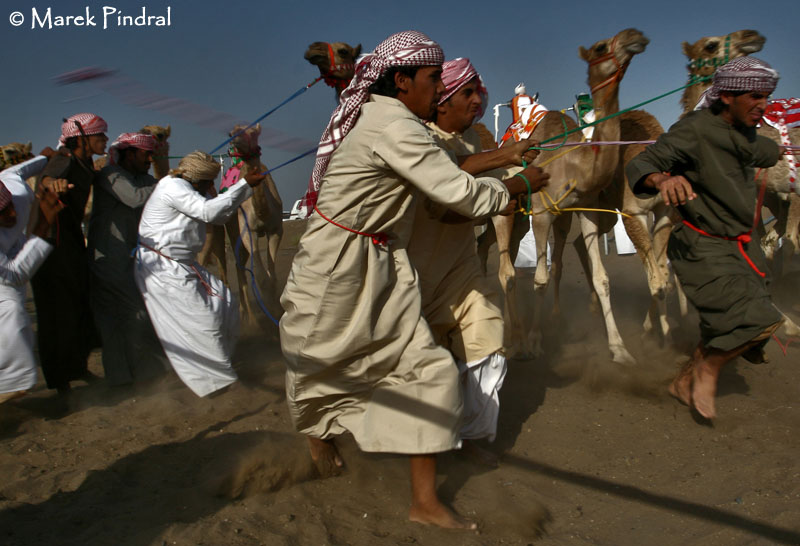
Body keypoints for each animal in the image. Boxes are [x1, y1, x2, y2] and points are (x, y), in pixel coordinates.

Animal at [197, 122, 284, 330]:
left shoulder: (276, 230)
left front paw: (277, 309)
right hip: (232, 229)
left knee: (240, 266)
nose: (233, 139)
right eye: (231, 131)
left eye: (253, 131)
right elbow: (260, 277)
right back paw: (249, 320)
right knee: (236, 267)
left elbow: (271, 276)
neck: (263, 211)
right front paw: (271, 313)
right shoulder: (248, 231)